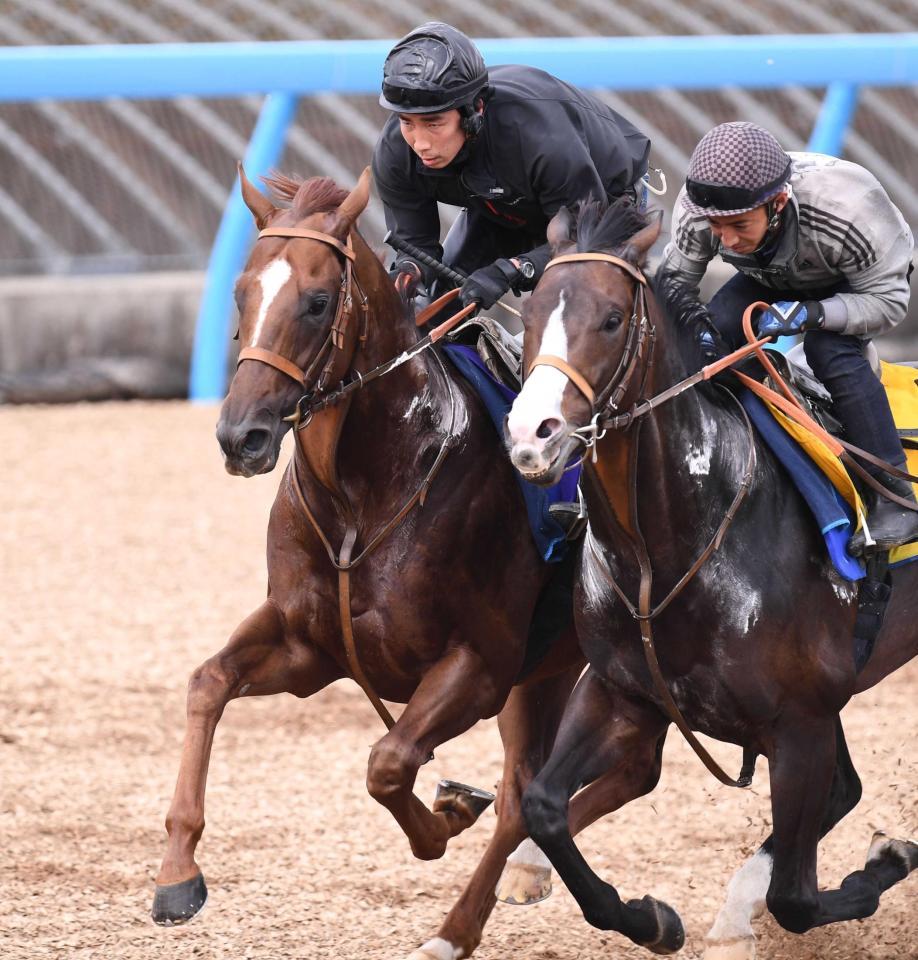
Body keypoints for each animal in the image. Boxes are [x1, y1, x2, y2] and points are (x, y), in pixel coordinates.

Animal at [148, 169, 584, 956]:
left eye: (318, 301)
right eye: (242, 292)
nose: (241, 436)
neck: (364, 493)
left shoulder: (480, 663)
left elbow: (388, 764)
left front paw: (444, 819)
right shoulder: (308, 647)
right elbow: (207, 683)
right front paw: (176, 875)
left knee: (521, 796)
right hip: (550, 669)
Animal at [506, 199, 916, 956]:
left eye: (611, 319)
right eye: (530, 313)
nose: (531, 436)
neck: (664, 552)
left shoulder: (801, 722)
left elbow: (797, 898)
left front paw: (889, 856)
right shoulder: (623, 694)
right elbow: (543, 808)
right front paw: (651, 918)